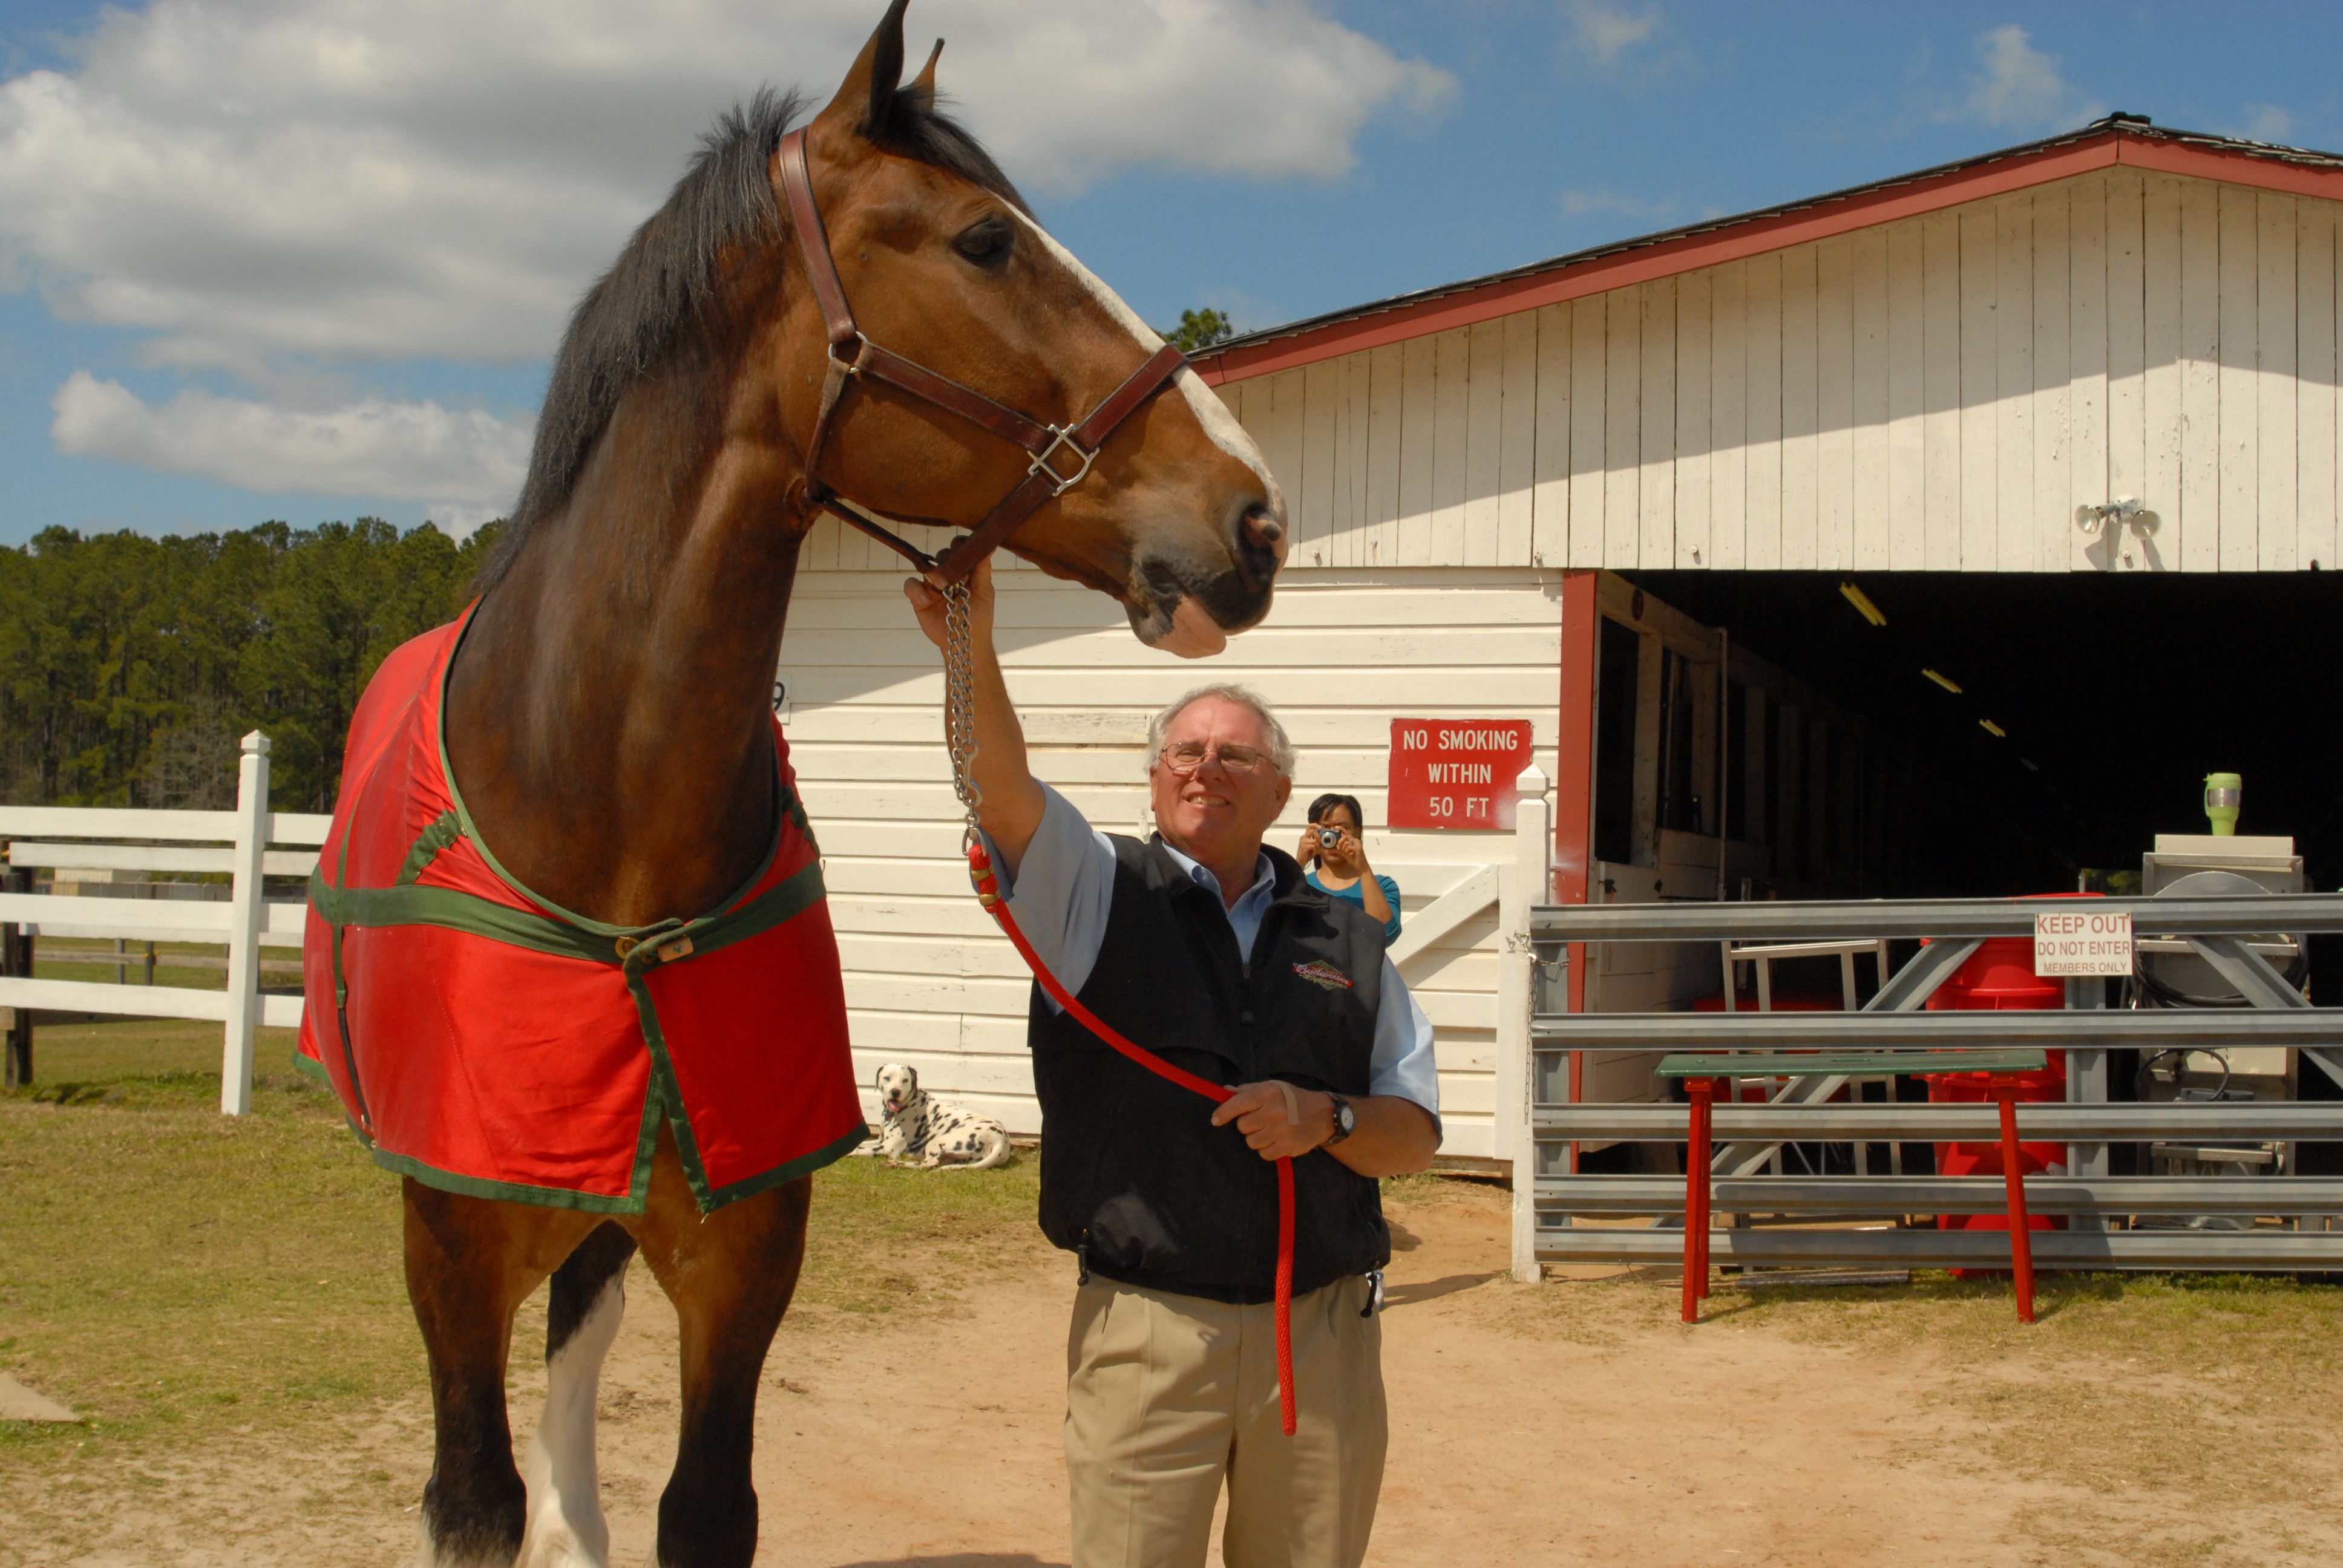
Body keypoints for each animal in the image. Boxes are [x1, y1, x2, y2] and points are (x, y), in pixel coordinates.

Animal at [862, 1059, 1007, 1167]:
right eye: (887, 1078)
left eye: (905, 1080)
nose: (896, 1092)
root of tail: (1002, 1141)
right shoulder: (880, 1141)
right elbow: (860, 1144)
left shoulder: (887, 1148)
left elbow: (858, 1149)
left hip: (937, 1142)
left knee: (928, 1164)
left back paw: (898, 1164)